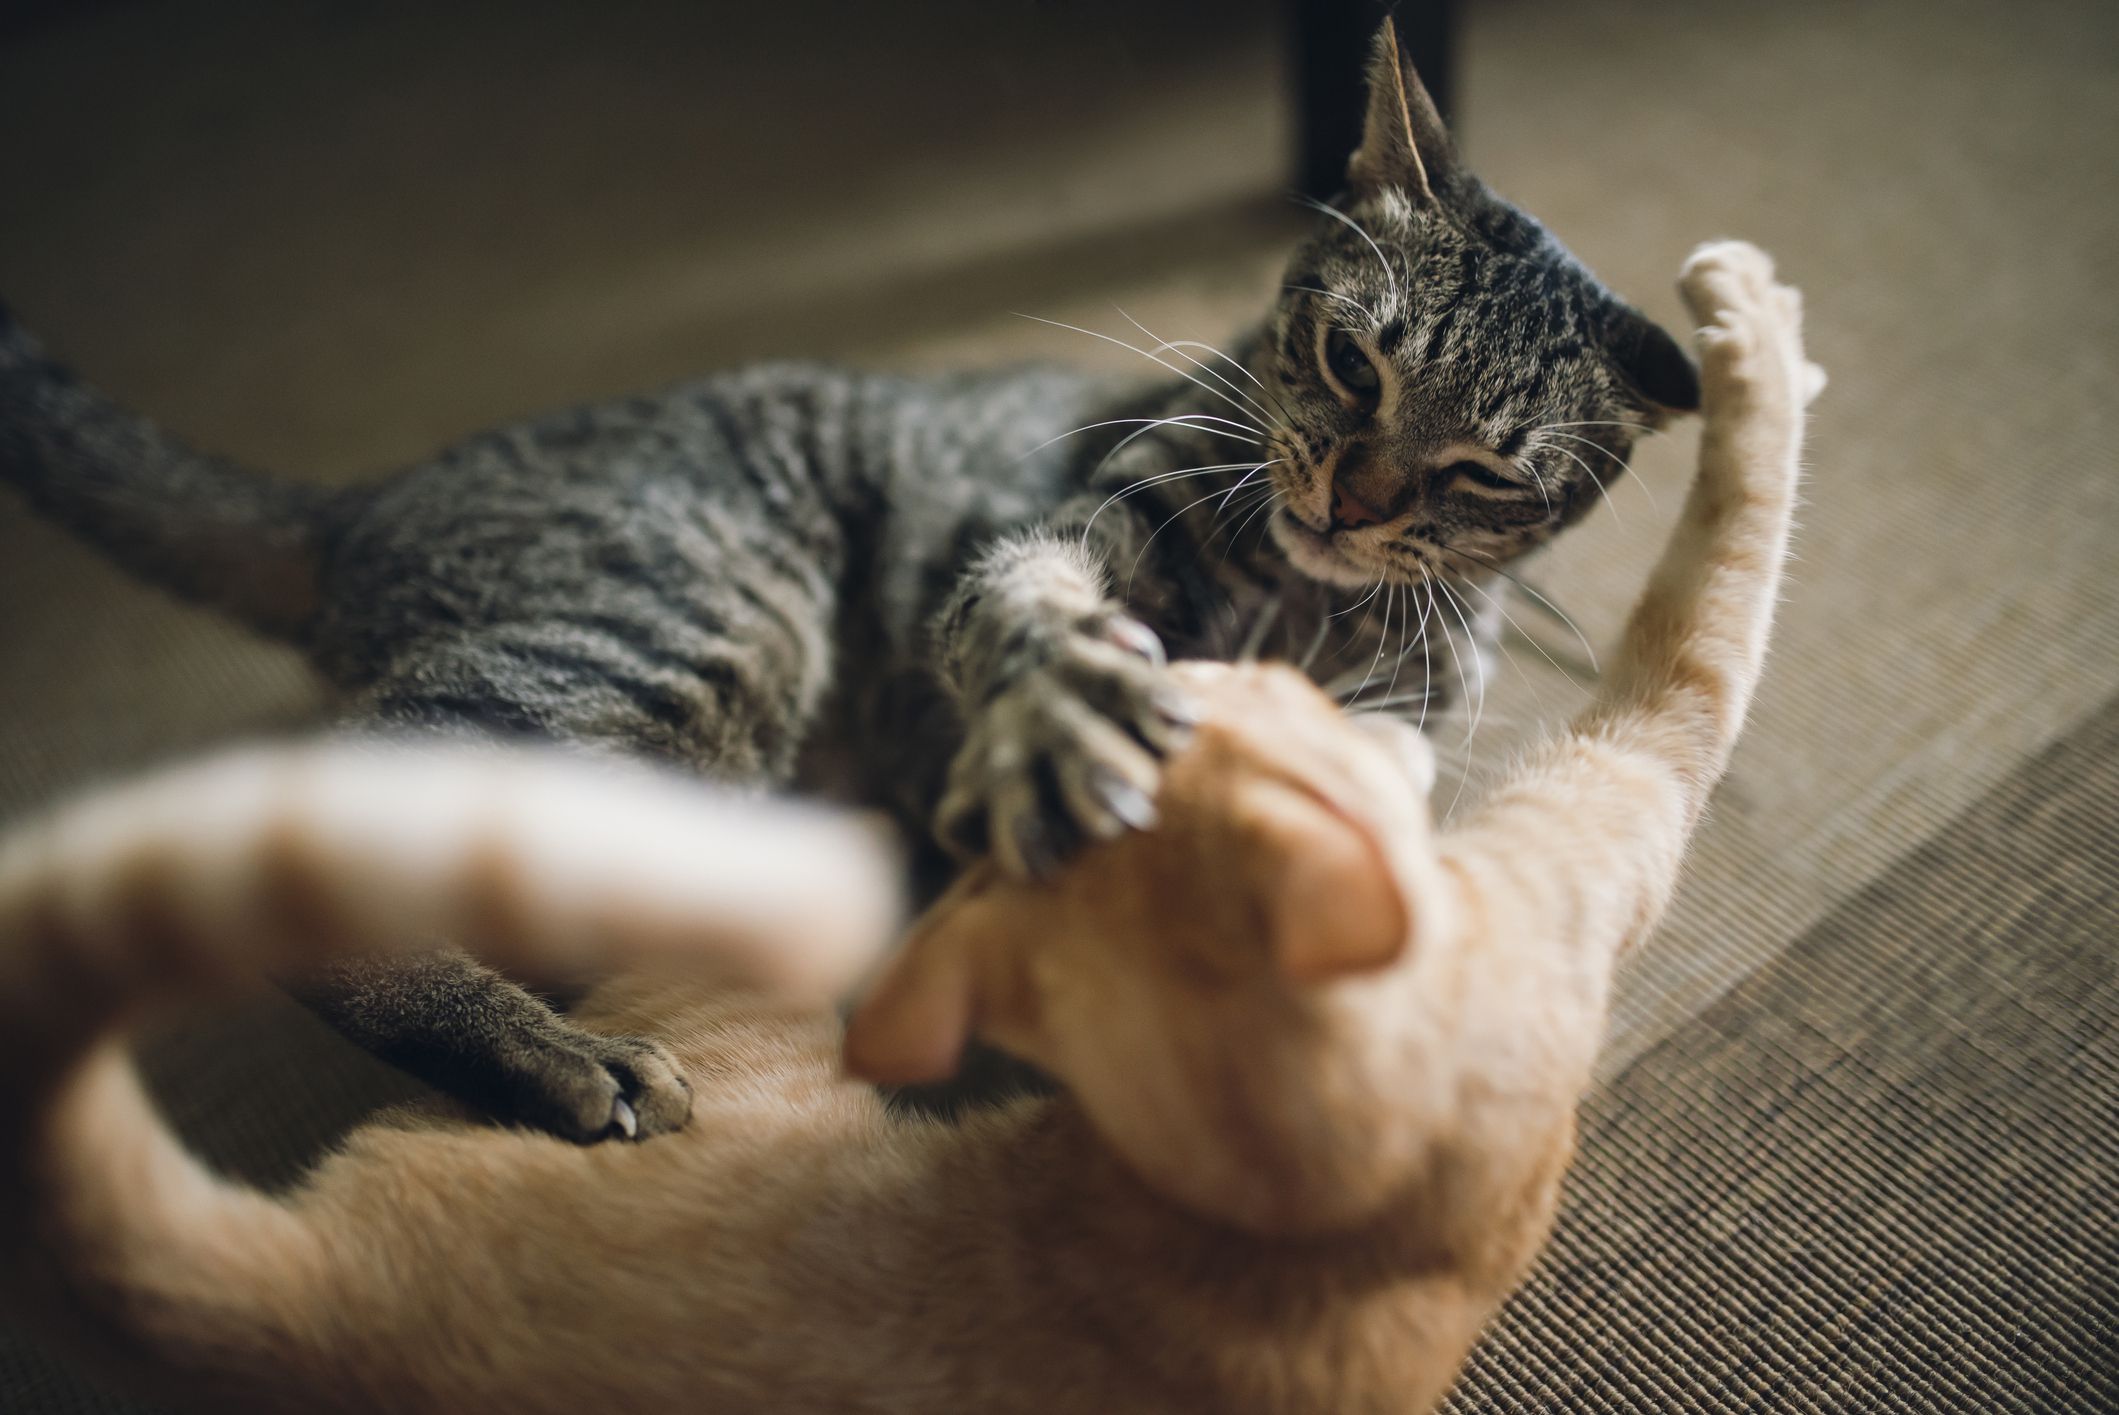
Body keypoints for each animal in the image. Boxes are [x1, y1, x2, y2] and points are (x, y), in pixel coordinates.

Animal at [0, 22, 1686, 1143]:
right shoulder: (1067, 526)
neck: (1303, 591)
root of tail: (363, 503)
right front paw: (1066, 710)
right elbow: (1030, 617)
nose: (1353, 496)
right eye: (1349, 358)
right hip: (693, 627)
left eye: (1482, 475)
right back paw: (556, 1056)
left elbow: (1373, 780)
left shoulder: (1404, 708)